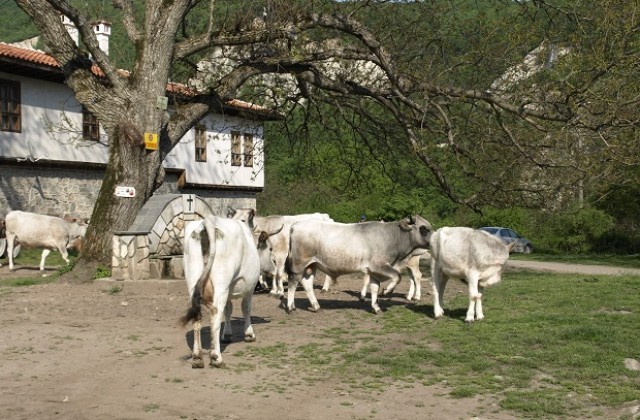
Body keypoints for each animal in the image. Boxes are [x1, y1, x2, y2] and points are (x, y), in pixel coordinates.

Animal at [180, 217, 260, 368]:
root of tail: (208, 221)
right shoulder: (250, 288)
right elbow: (246, 309)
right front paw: (249, 334)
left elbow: (228, 310)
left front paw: (227, 335)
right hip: (222, 282)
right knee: (216, 315)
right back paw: (216, 357)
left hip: (193, 280)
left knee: (197, 316)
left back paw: (197, 357)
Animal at [288, 217, 432, 312]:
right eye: (424, 229)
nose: (435, 239)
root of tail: (296, 225)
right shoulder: (378, 266)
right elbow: (397, 277)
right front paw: (386, 291)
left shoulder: (374, 271)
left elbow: (374, 287)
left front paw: (376, 307)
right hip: (299, 265)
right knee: (293, 283)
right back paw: (290, 307)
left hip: (311, 265)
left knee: (307, 284)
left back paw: (316, 306)